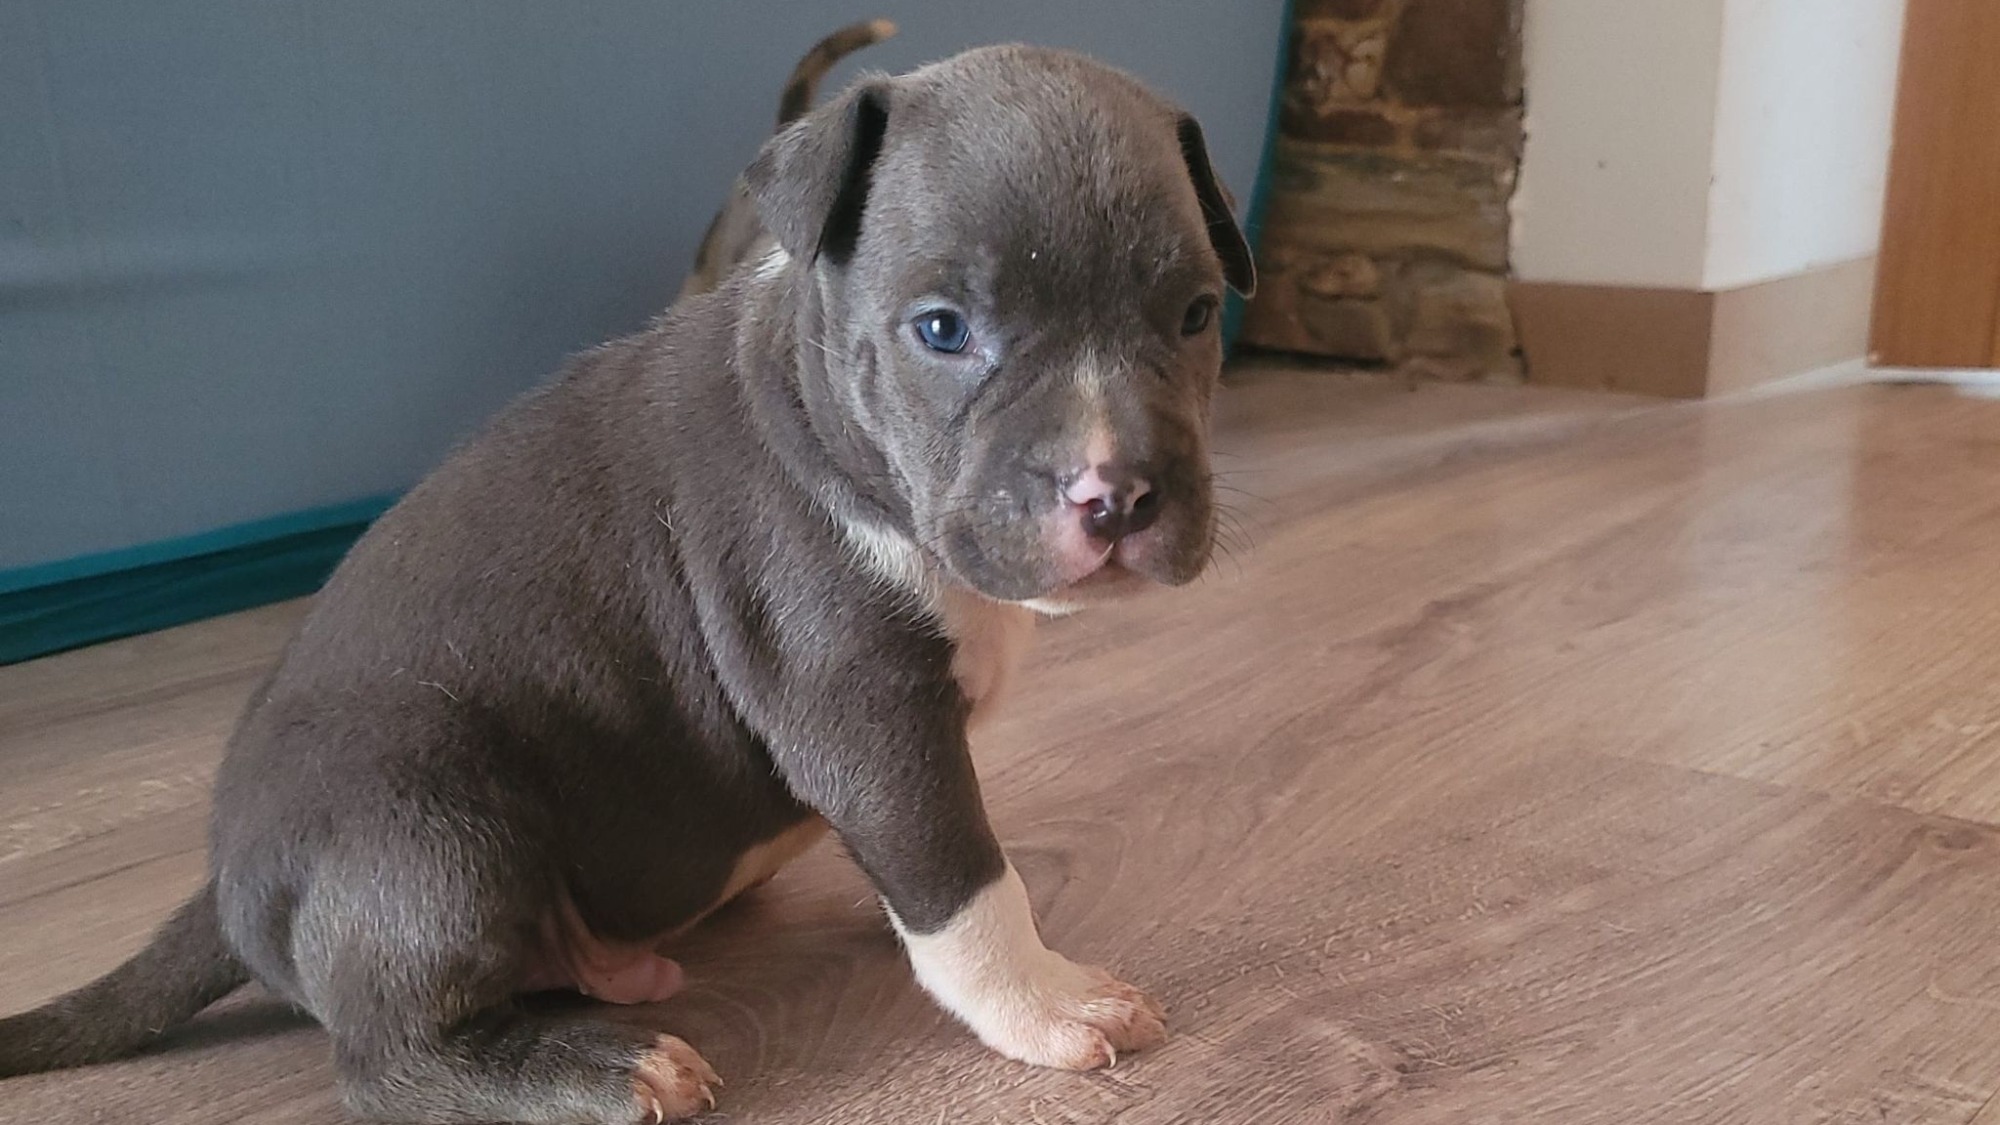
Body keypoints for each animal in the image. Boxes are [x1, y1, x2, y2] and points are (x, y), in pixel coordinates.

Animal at [0, 43, 1248, 1120]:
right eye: (940, 329)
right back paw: (604, 1069)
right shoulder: (862, 710)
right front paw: (1040, 999)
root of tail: (223, 883)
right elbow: (959, 879)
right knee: (382, 1059)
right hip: (423, 825)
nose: (1114, 493)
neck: (832, 431)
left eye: (1194, 314)